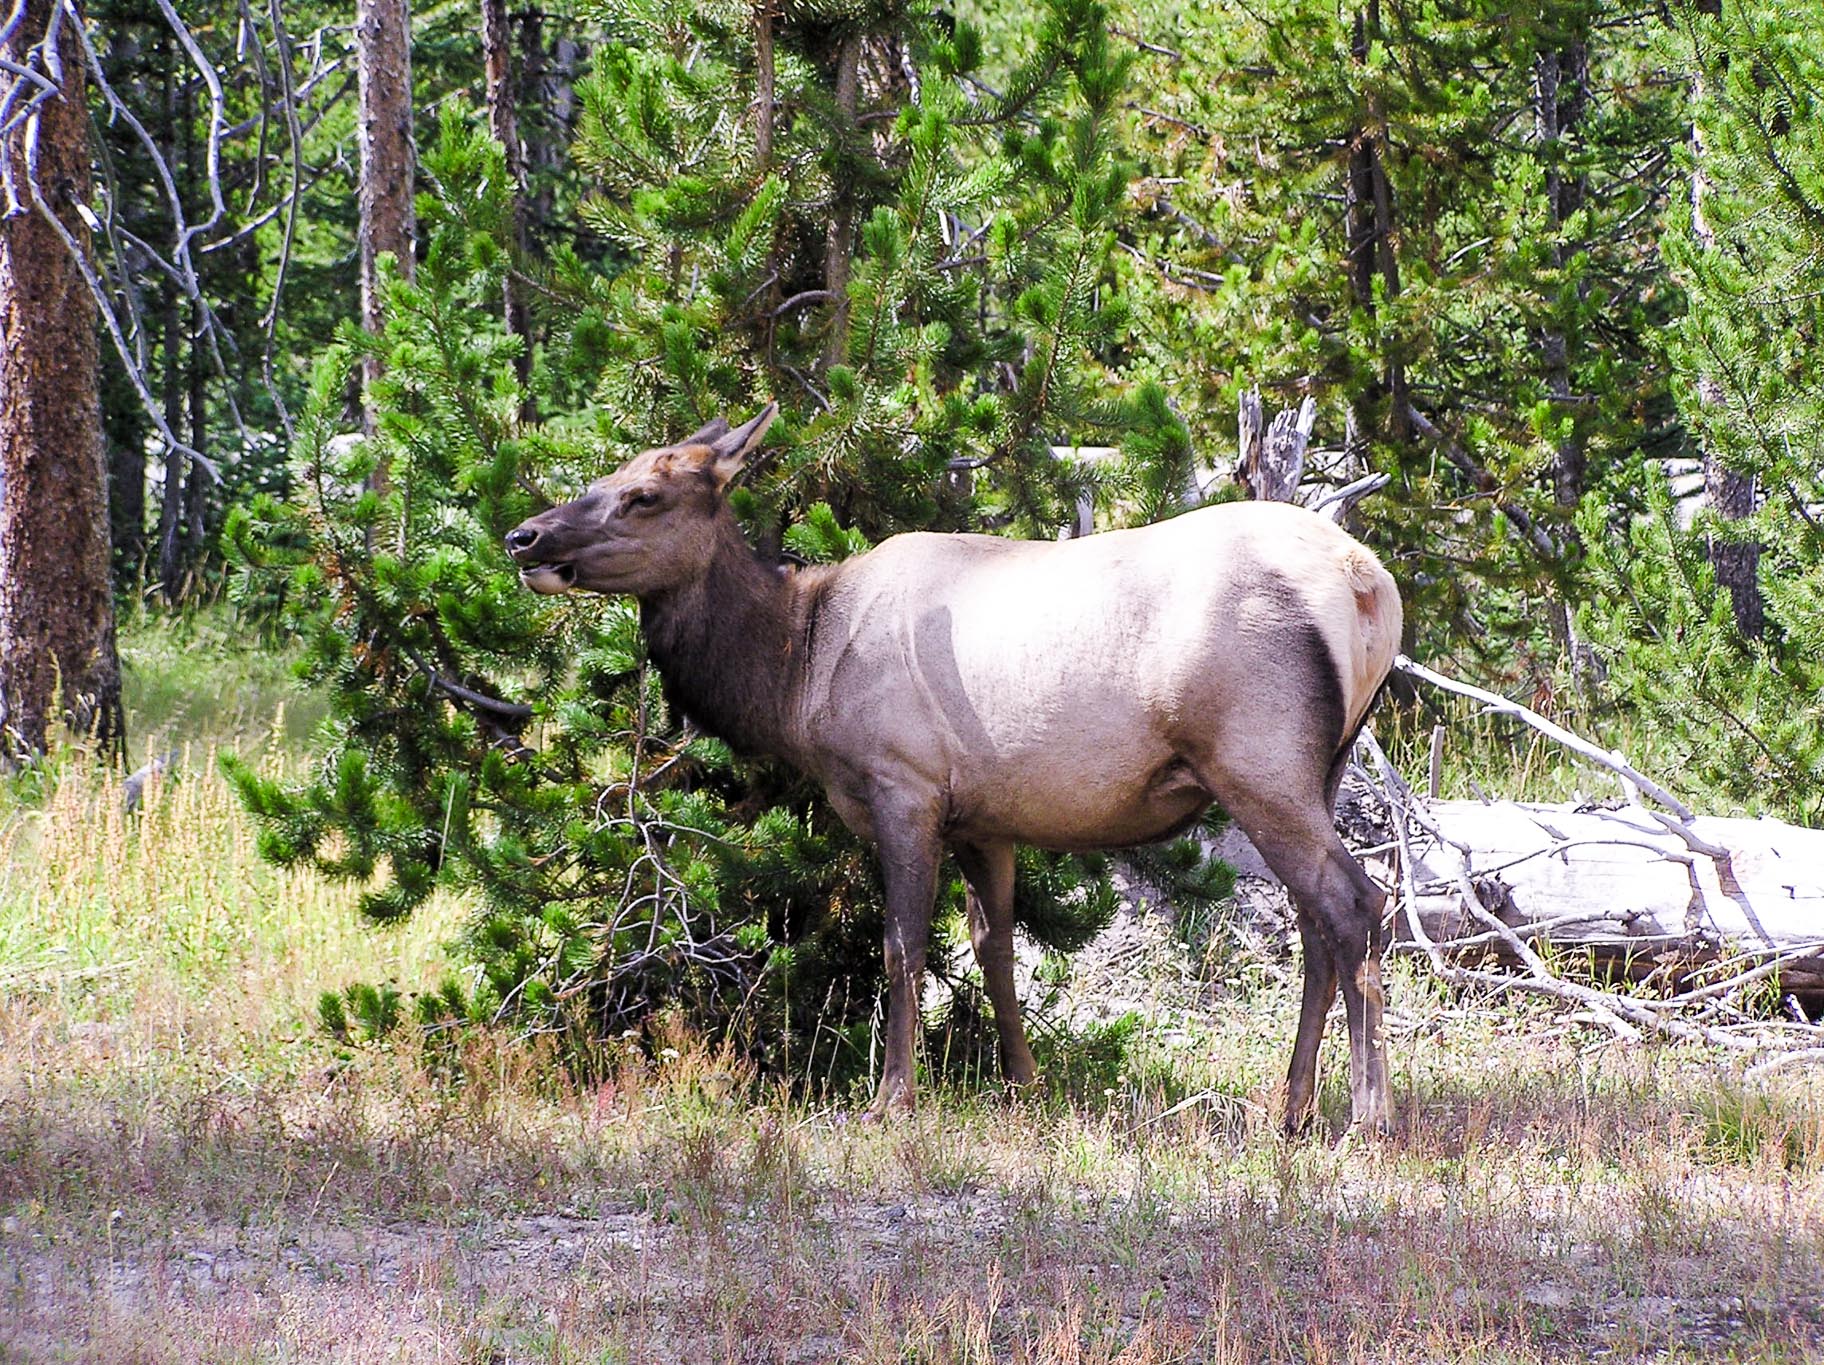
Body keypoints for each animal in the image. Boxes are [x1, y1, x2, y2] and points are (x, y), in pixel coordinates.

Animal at [506, 403, 1404, 1133]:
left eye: (645, 496)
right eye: (605, 476)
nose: (524, 536)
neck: (797, 675)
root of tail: (1371, 587)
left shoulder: (903, 782)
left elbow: (902, 946)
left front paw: (890, 1098)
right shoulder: (984, 816)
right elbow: (993, 947)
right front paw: (1021, 1083)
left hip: (1257, 759)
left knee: (1357, 902)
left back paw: (1367, 1115)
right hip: (1319, 765)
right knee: (1315, 923)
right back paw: (1290, 1107)